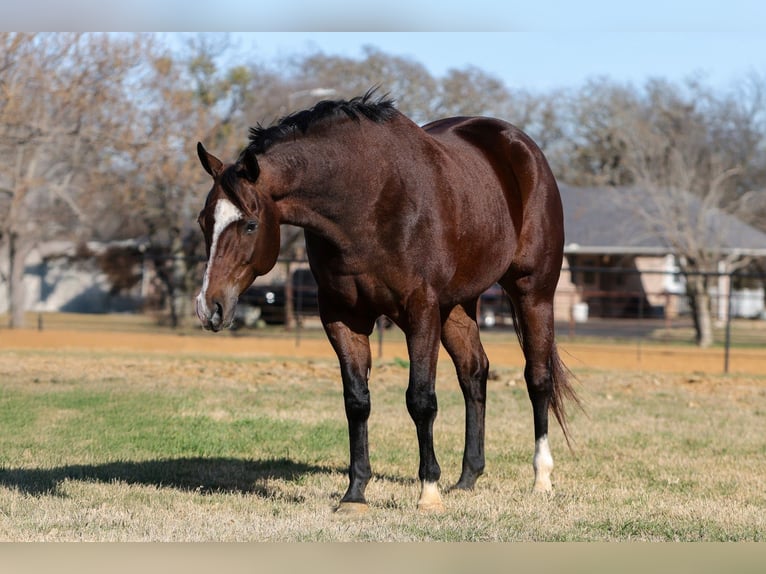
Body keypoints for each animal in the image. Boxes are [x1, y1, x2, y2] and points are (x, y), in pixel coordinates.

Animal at [194, 90, 580, 513]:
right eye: (203, 222)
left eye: (249, 224)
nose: (209, 307)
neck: (366, 200)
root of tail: (522, 148)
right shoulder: (343, 317)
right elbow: (357, 401)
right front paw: (355, 493)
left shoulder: (420, 311)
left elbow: (421, 399)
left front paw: (428, 491)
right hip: (457, 306)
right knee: (474, 373)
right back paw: (467, 477)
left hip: (533, 292)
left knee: (538, 379)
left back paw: (541, 478)